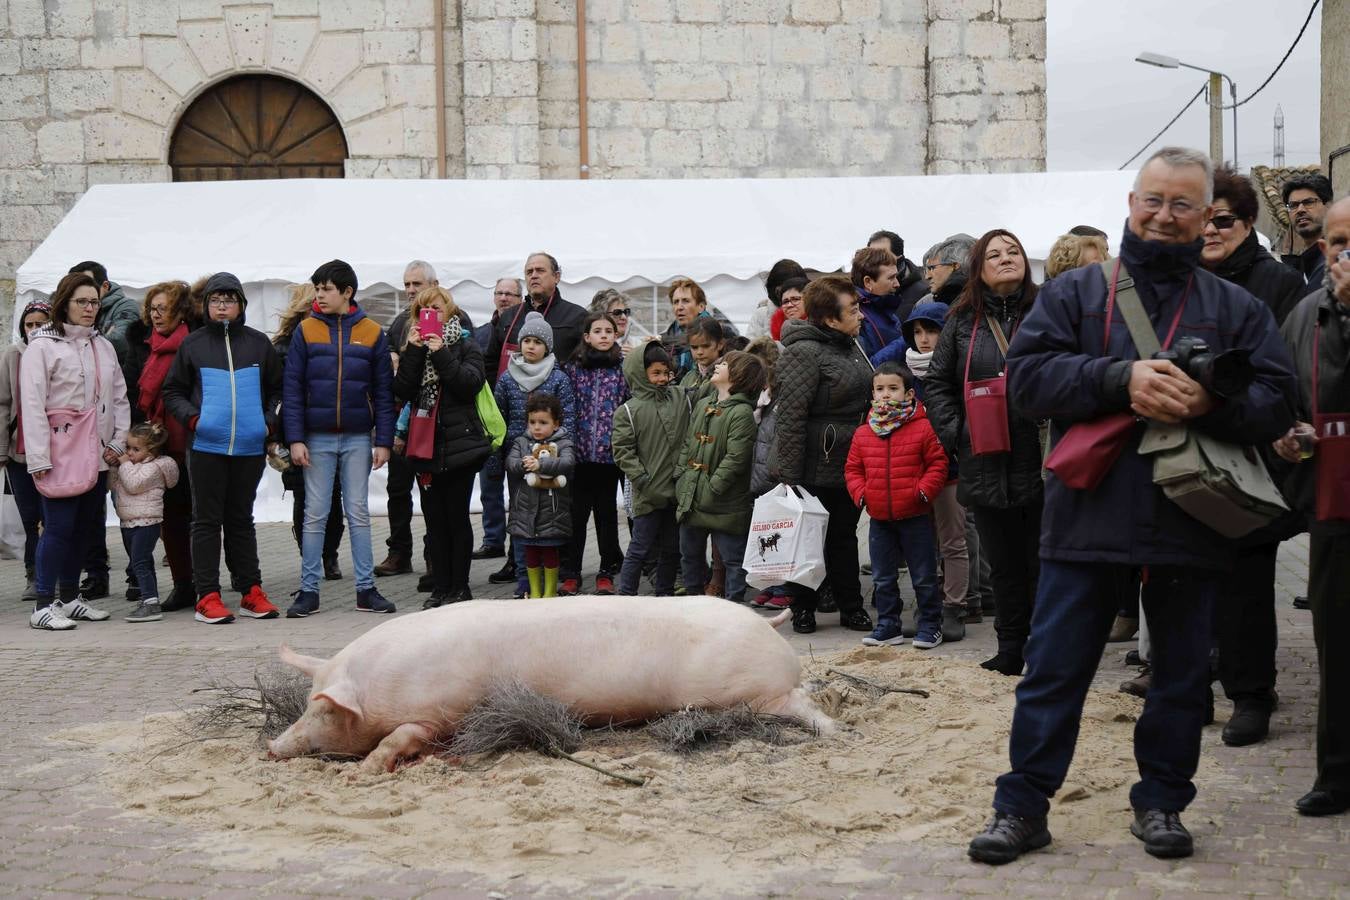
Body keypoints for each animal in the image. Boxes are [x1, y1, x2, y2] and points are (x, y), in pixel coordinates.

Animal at [264, 593, 831, 771]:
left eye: (323, 710)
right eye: (308, 704)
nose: (270, 747)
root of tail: (766, 625)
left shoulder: (441, 712)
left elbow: (402, 736)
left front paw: (365, 771)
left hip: (755, 692)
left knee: (802, 700)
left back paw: (836, 733)